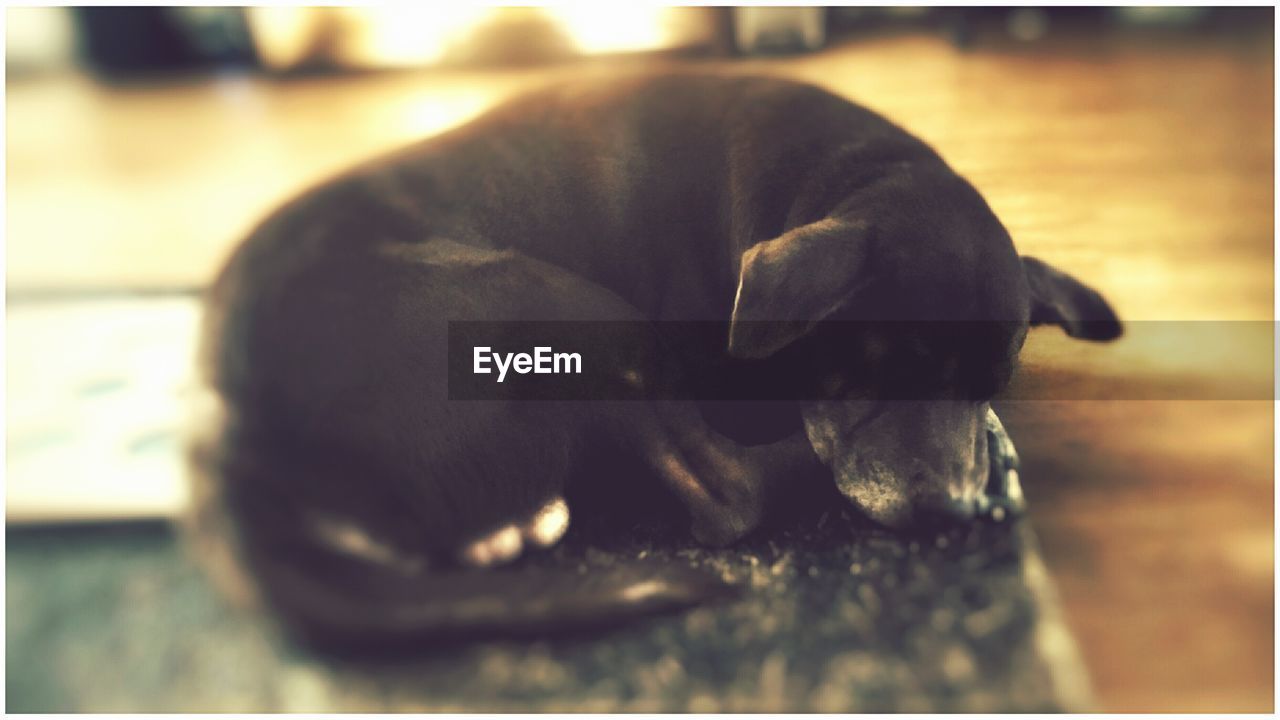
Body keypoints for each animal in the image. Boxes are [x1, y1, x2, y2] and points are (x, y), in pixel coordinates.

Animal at [189, 74, 1121, 650]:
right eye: (876, 369)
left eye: (992, 380)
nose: (949, 511)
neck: (838, 180)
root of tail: (234, 430)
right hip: (556, 299)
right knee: (727, 495)